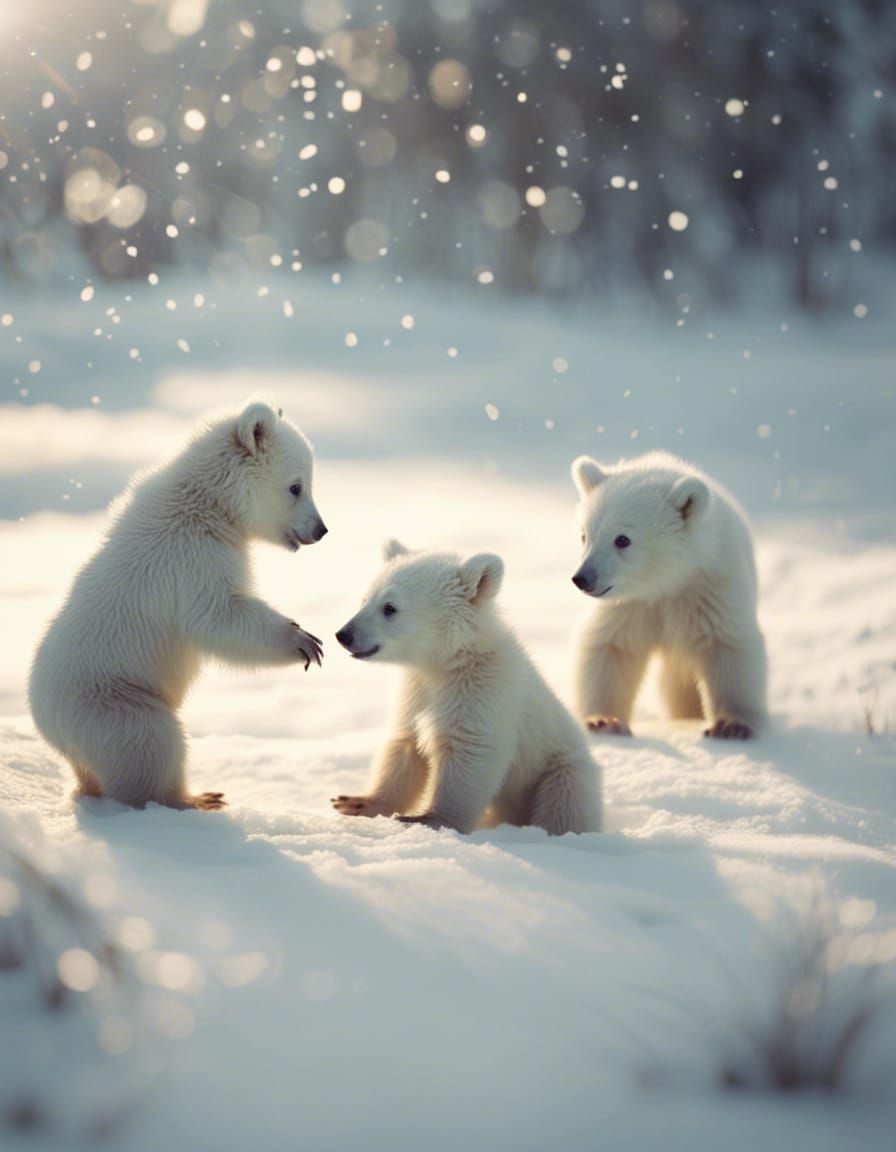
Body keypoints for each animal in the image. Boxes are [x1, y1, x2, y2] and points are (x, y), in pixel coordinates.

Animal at [28, 400, 327, 810]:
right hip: (111, 703)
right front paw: (302, 641)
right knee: (152, 745)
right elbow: (218, 615)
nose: (321, 530)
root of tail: (47, 726)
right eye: (296, 486)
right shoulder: (191, 555)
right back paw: (191, 800)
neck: (206, 501)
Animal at [332, 541, 602, 836]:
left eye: (390, 607)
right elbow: (405, 745)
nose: (343, 635)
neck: (447, 662)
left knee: (563, 804)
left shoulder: (481, 692)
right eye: (365, 599)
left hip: (561, 769)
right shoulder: (416, 689)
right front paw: (356, 803)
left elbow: (469, 752)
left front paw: (429, 819)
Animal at [569, 450, 767, 740]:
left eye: (622, 539)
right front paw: (604, 721)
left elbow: (726, 645)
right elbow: (612, 647)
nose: (582, 579)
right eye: (585, 535)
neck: (665, 583)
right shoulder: (631, 606)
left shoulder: (709, 592)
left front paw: (731, 725)